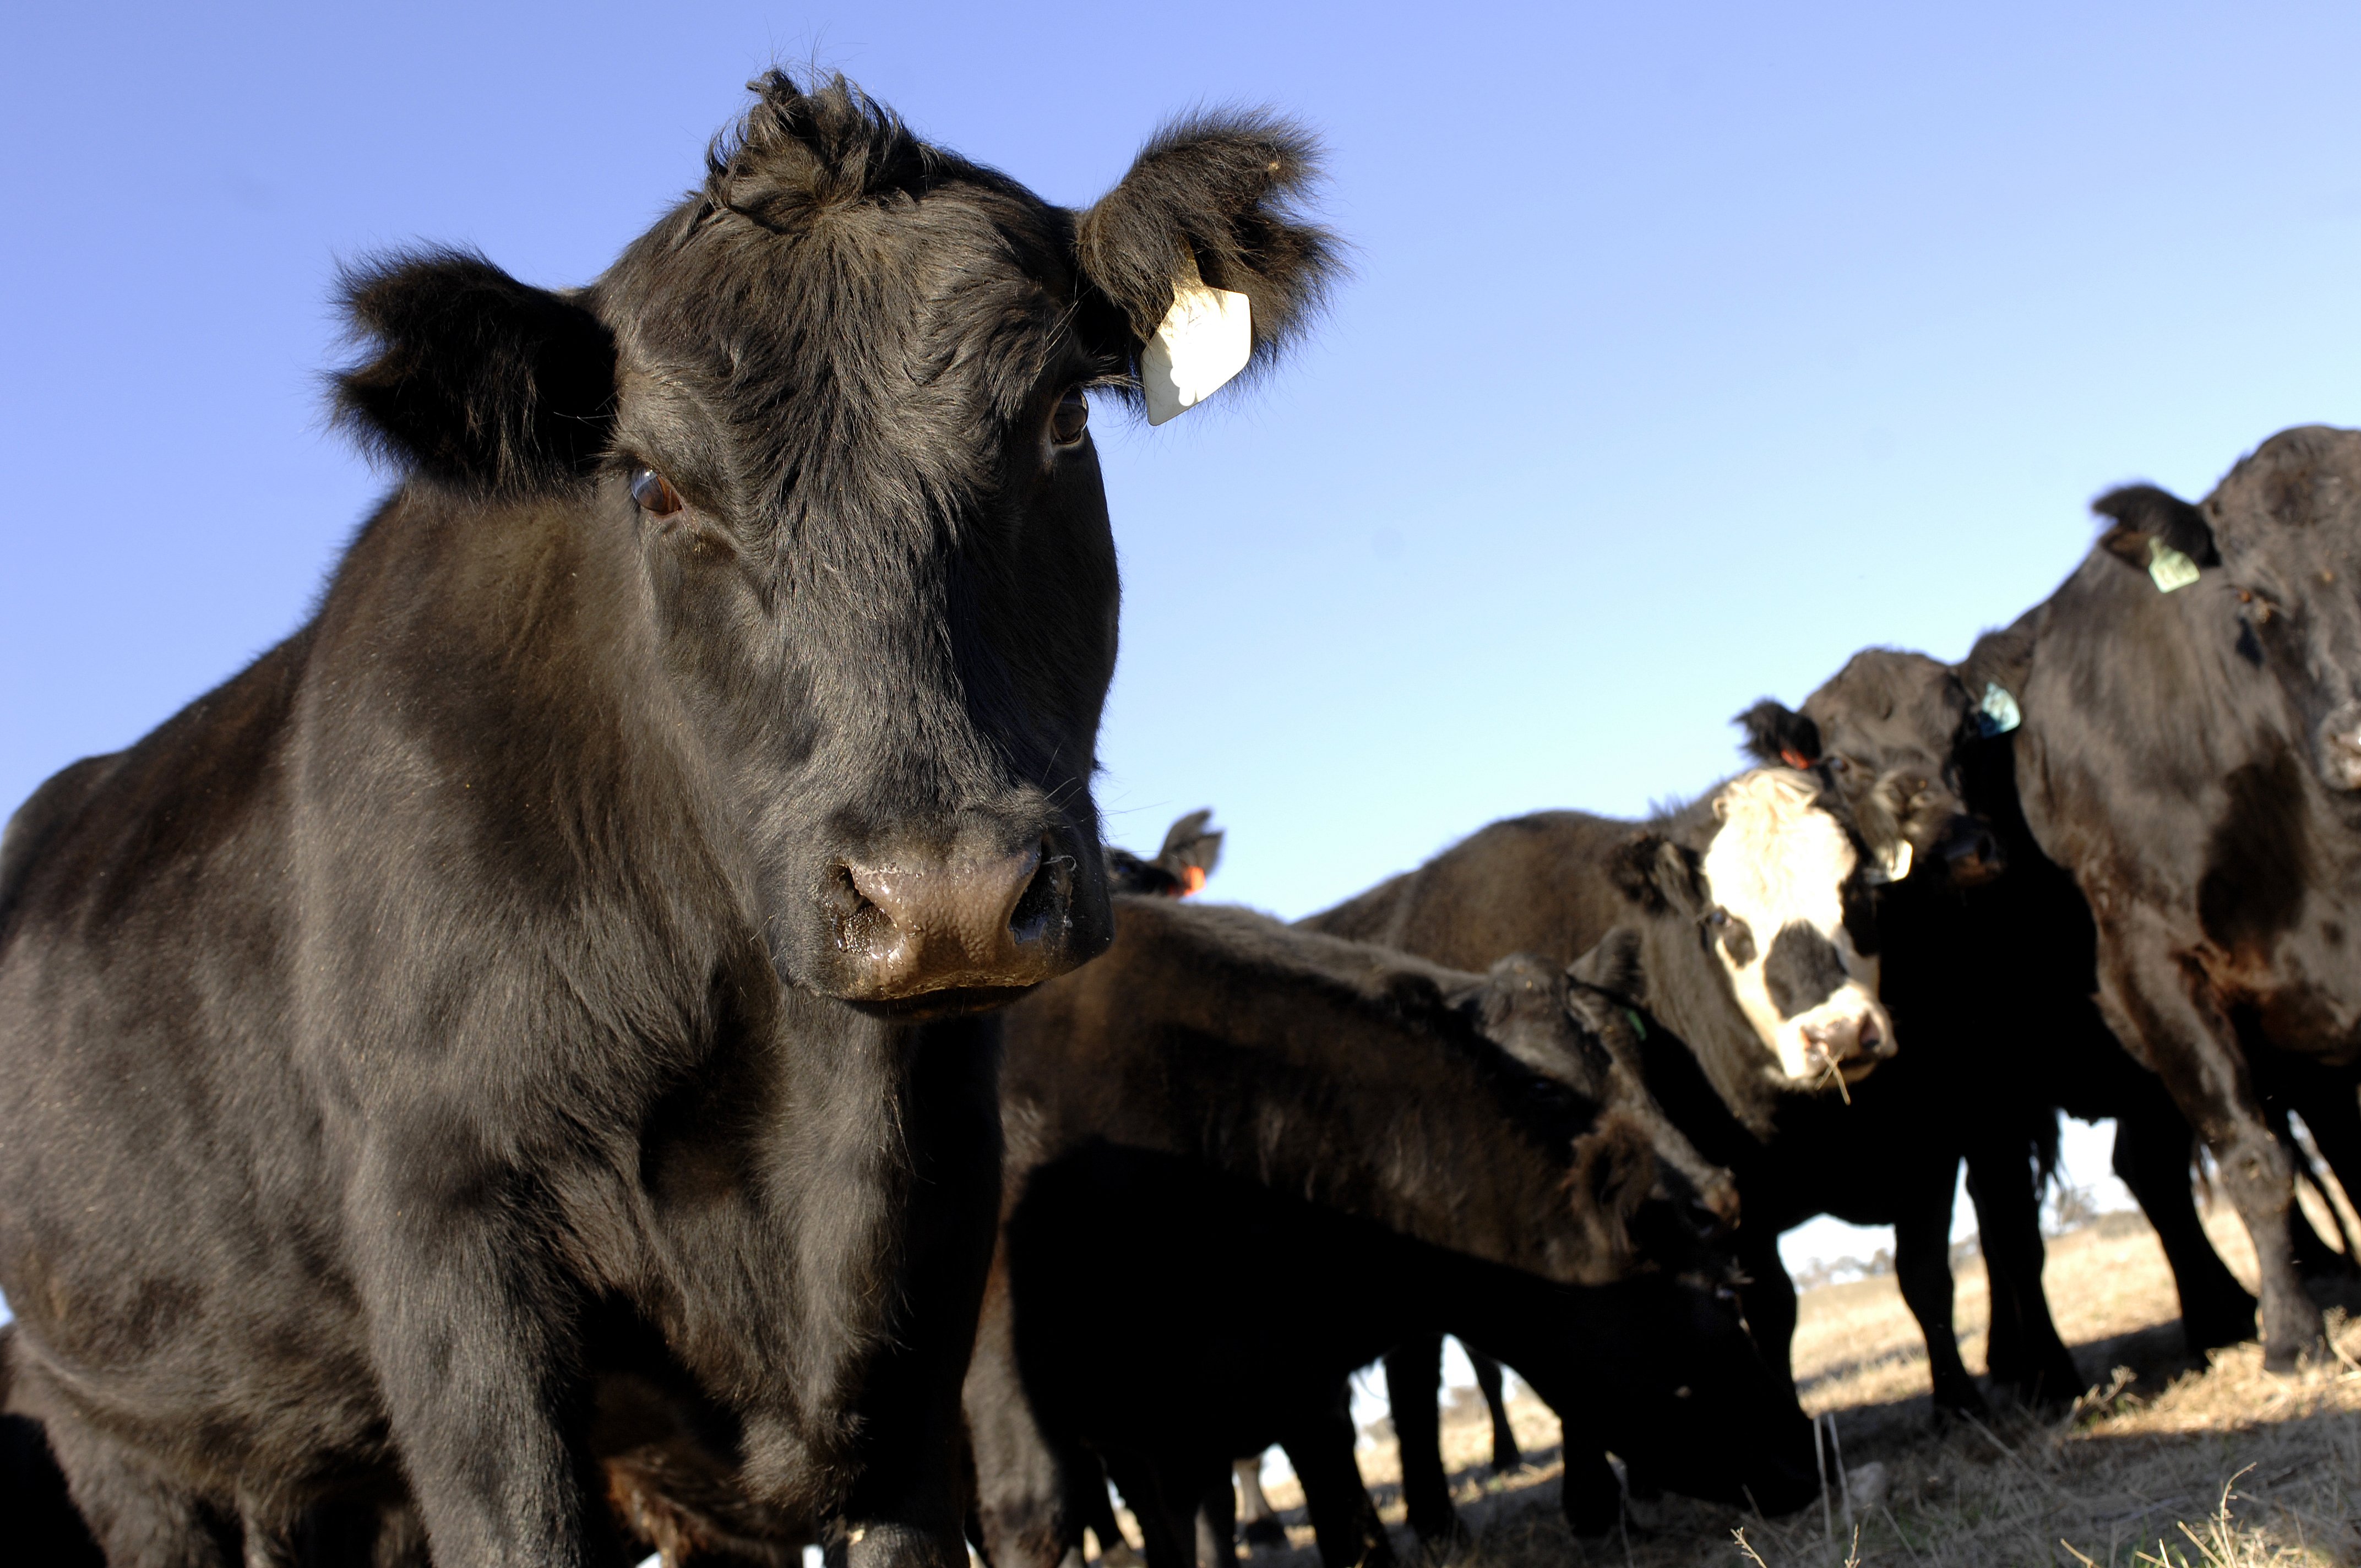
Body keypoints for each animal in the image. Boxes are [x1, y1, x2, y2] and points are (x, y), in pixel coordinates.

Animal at [0, 70, 1338, 1568]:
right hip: (117, 1433)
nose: (941, 894)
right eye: (652, 484)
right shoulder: (447, 1230)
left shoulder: (925, 1246)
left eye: (1065, 419)